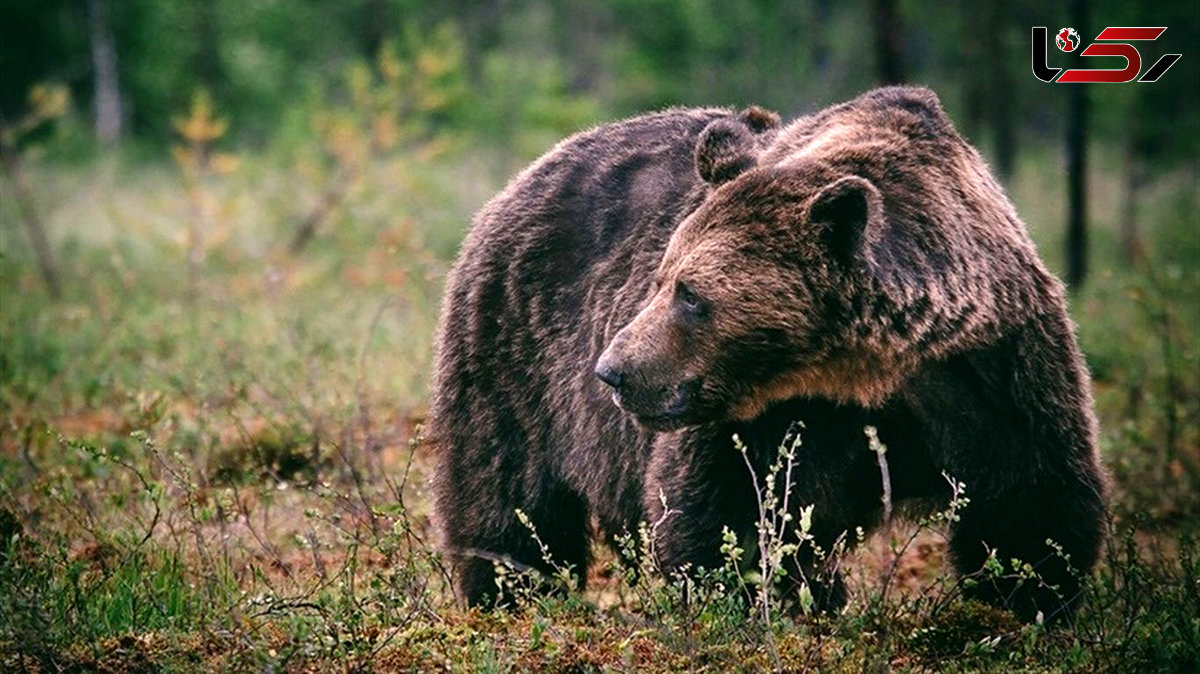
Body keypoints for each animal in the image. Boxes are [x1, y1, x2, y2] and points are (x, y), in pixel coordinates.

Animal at [429, 86, 1104, 623]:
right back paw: (510, 596)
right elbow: (727, 517)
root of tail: (525, 175)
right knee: (508, 495)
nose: (613, 372)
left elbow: (1030, 502)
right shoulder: (763, 419)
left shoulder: (991, 366)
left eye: (690, 294)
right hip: (514, 350)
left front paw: (1028, 601)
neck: (863, 367)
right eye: (660, 278)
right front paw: (757, 599)